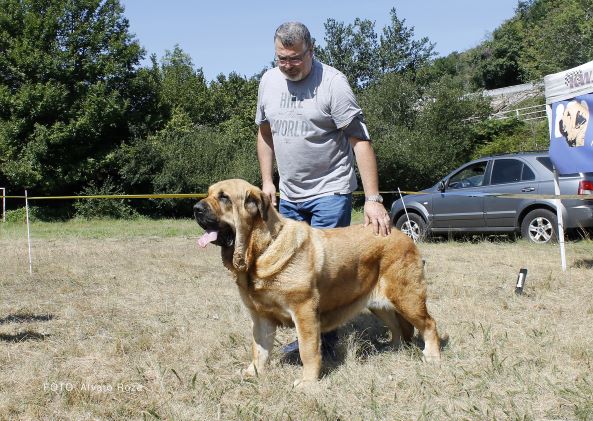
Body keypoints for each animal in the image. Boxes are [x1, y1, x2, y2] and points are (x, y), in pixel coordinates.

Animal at [194, 179, 440, 386]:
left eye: (224, 197)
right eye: (208, 193)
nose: (196, 208)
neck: (261, 250)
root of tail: (404, 235)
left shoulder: (304, 312)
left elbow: (308, 350)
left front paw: (308, 383)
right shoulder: (261, 316)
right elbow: (259, 349)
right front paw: (252, 372)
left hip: (407, 298)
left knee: (429, 324)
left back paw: (432, 356)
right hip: (379, 304)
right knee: (397, 326)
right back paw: (395, 348)